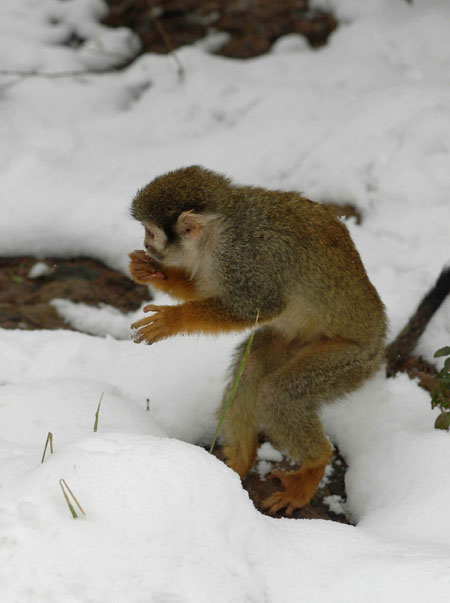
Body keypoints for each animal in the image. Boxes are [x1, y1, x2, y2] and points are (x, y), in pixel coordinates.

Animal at [127, 165, 386, 516]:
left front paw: (173, 319)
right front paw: (153, 272)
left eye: (151, 232)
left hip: (353, 361)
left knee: (278, 393)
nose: (146, 244)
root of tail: (381, 337)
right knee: (250, 367)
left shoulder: (243, 257)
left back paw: (315, 465)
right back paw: (240, 462)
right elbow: (208, 290)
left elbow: (259, 306)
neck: (216, 234)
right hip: (298, 340)